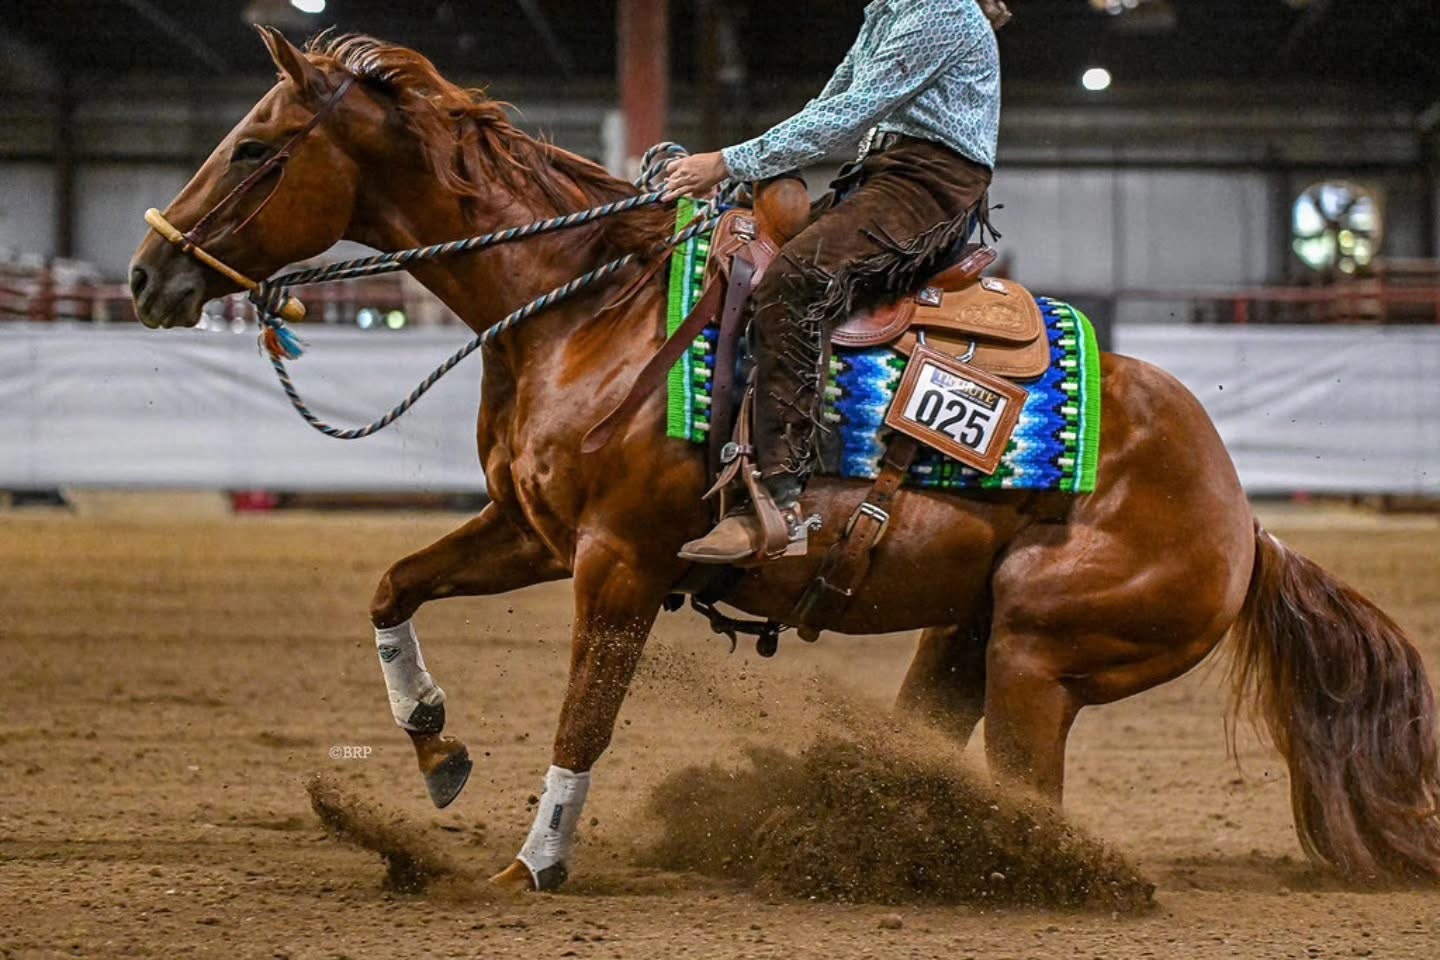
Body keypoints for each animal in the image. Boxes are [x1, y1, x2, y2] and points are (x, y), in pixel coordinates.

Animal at [129, 29, 1440, 891]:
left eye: (257, 148)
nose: (148, 275)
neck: (587, 305)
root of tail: (1245, 519)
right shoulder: (532, 534)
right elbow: (393, 589)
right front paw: (438, 746)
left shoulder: (621, 557)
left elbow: (585, 715)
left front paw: (535, 862)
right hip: (967, 639)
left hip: (1038, 648)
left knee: (1034, 794)